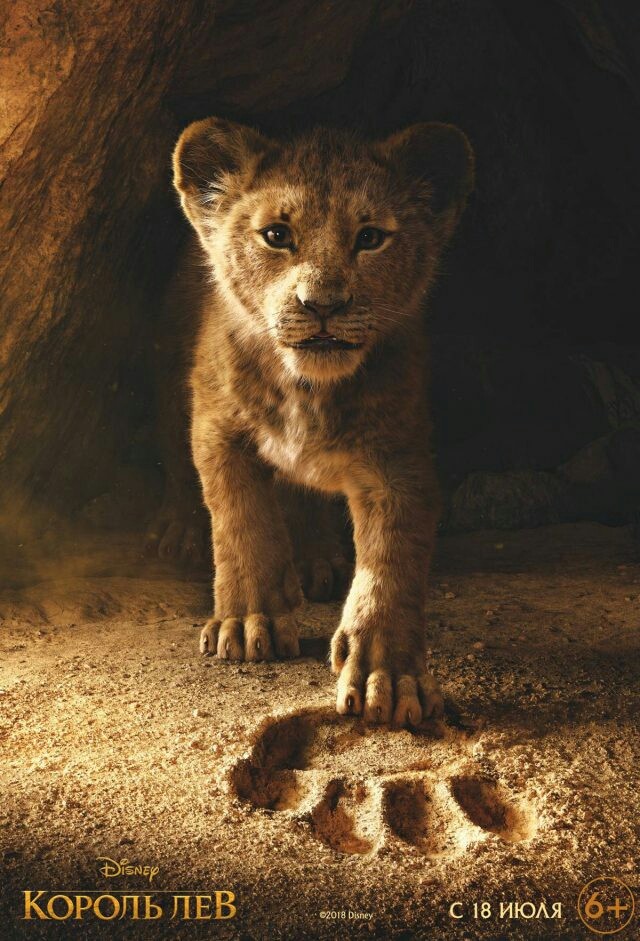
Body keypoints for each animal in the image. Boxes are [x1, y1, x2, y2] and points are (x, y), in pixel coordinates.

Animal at [159, 117, 473, 727]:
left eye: (370, 238)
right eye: (277, 235)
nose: (322, 304)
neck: (308, 389)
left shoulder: (398, 459)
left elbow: (391, 563)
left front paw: (387, 674)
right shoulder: (218, 428)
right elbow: (242, 521)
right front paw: (248, 622)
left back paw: (315, 559)